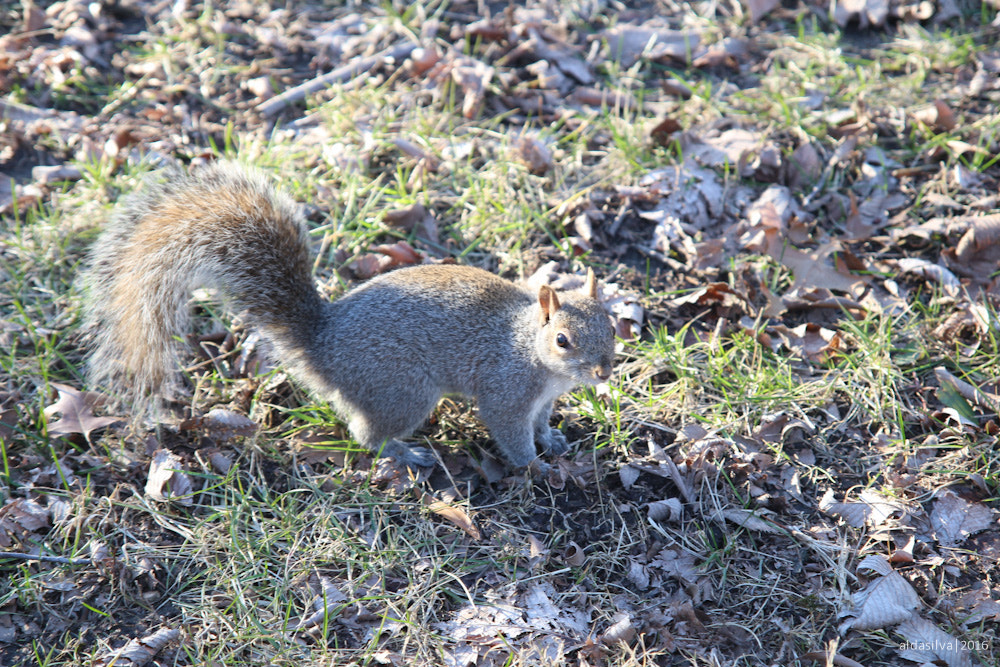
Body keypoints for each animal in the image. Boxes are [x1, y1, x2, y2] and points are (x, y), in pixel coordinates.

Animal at [81, 161, 615, 469]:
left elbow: (540, 424)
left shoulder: (542, 399)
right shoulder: (507, 389)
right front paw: (536, 467)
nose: (604, 372)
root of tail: (323, 346)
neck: (533, 352)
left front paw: (554, 442)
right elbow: (510, 433)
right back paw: (407, 453)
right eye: (563, 340)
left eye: (613, 326)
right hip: (403, 390)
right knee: (366, 434)